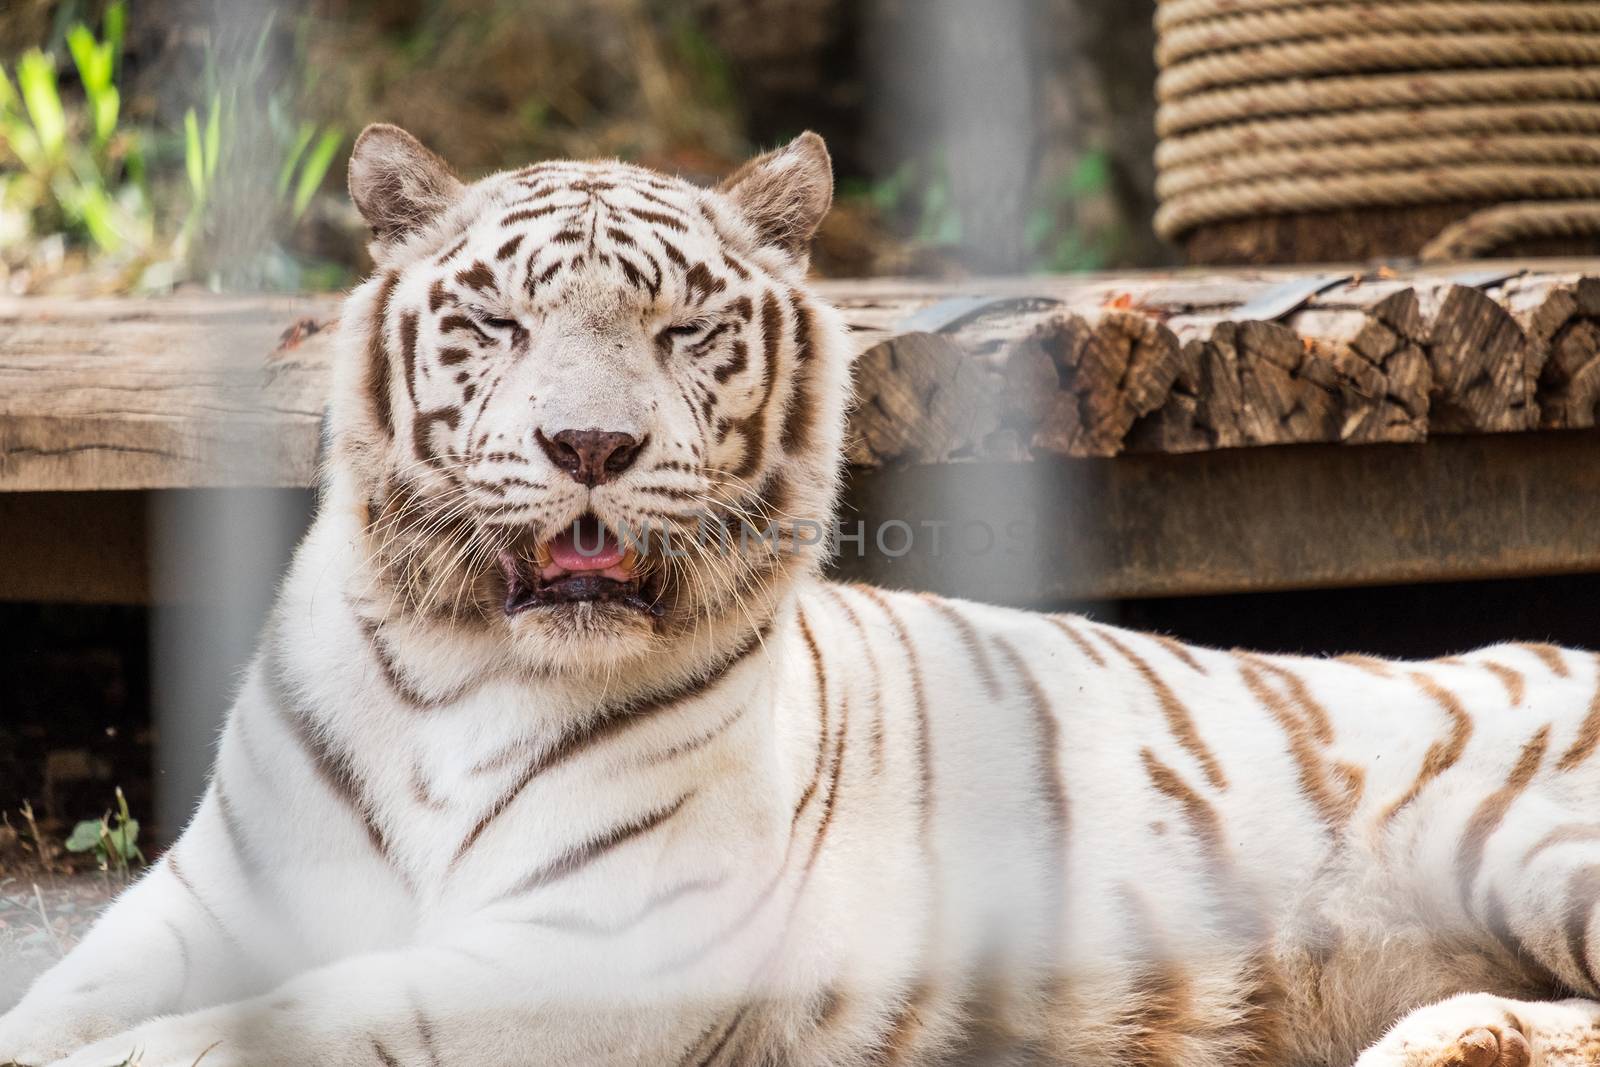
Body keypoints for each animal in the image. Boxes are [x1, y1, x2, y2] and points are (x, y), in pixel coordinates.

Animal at [9, 127, 1600, 1067]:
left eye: (682, 329)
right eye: (499, 322)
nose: (589, 445)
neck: (459, 670)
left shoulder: (599, 944)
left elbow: (295, 1018)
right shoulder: (206, 897)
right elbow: (61, 994)